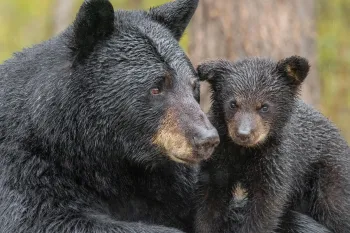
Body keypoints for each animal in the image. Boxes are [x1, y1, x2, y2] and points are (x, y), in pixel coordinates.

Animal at [0, 0, 219, 233]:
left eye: (193, 85)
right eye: (156, 88)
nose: (207, 139)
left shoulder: (169, 180)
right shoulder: (24, 165)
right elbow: (41, 218)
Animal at [196, 57, 348, 233]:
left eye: (264, 106)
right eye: (233, 104)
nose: (243, 134)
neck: (245, 152)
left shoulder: (276, 162)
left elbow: (265, 208)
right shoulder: (219, 157)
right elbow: (210, 201)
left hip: (329, 175)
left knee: (336, 210)